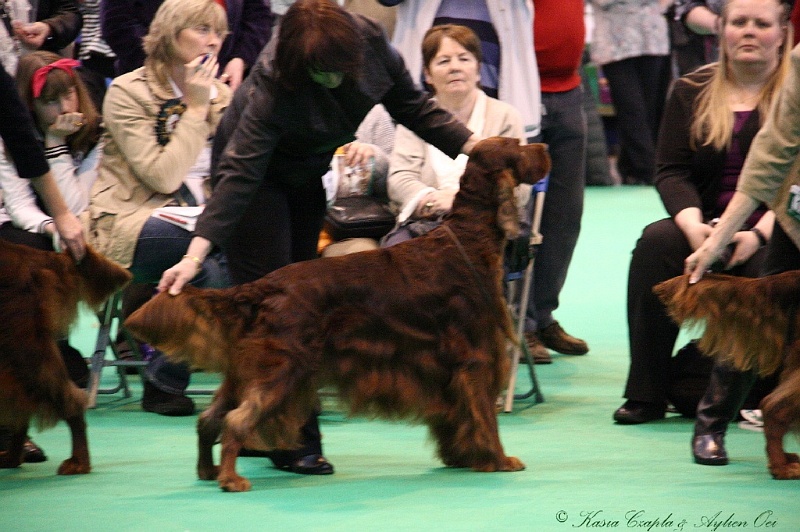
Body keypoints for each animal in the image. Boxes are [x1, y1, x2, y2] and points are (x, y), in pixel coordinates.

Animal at [126, 136, 552, 490]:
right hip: (285, 369)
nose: (545, 146)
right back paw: (231, 480)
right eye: (518, 146)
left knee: (210, 418)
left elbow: (459, 416)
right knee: (236, 420)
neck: (468, 237)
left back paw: (208, 470)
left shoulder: (447, 369)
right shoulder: (476, 359)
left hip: (247, 369)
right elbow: (485, 416)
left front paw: (462, 457)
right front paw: (499, 459)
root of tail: (263, 287)